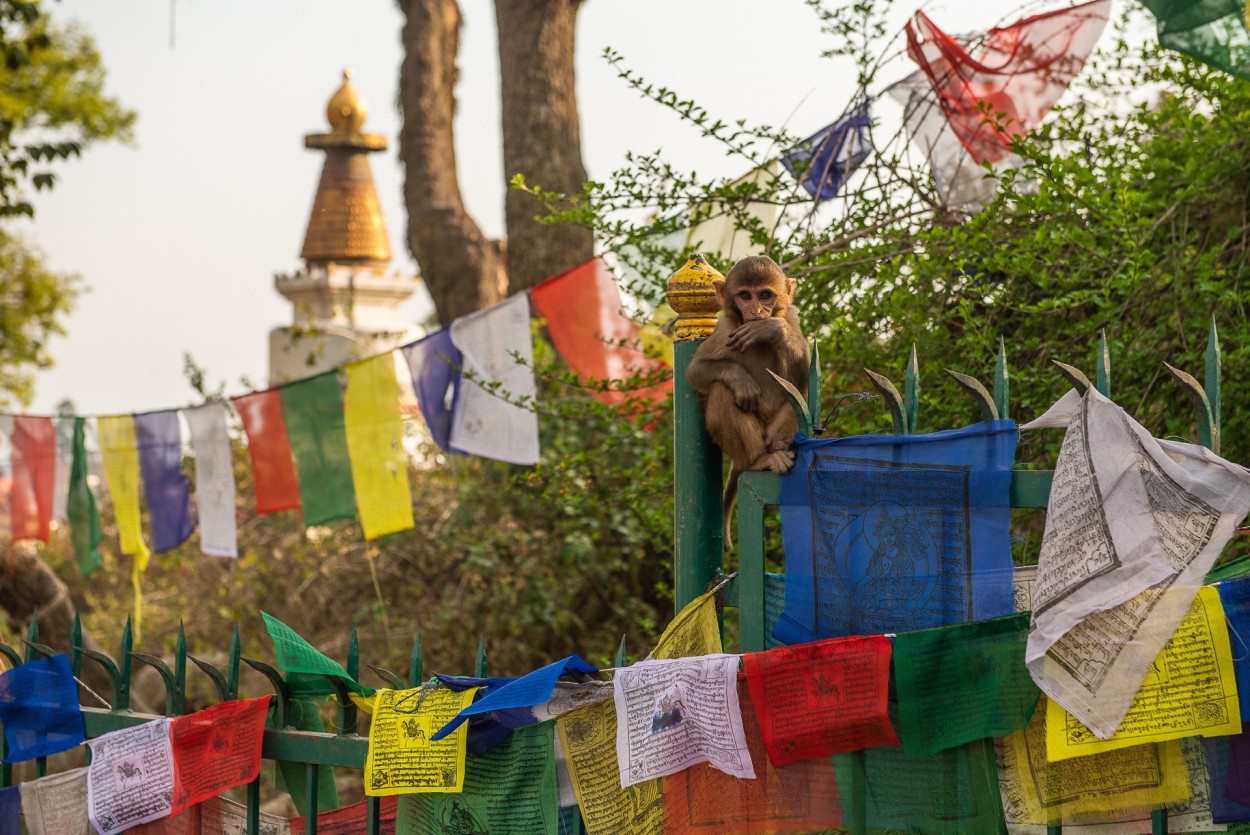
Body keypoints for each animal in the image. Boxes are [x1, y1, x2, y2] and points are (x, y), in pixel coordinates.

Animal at [685, 257, 810, 550]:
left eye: (765, 295)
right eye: (745, 296)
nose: (756, 311)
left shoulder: (791, 317)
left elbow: (801, 377)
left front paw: (771, 330)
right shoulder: (724, 330)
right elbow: (696, 371)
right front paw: (739, 378)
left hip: (775, 431)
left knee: (800, 395)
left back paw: (780, 448)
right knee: (721, 390)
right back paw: (759, 460)